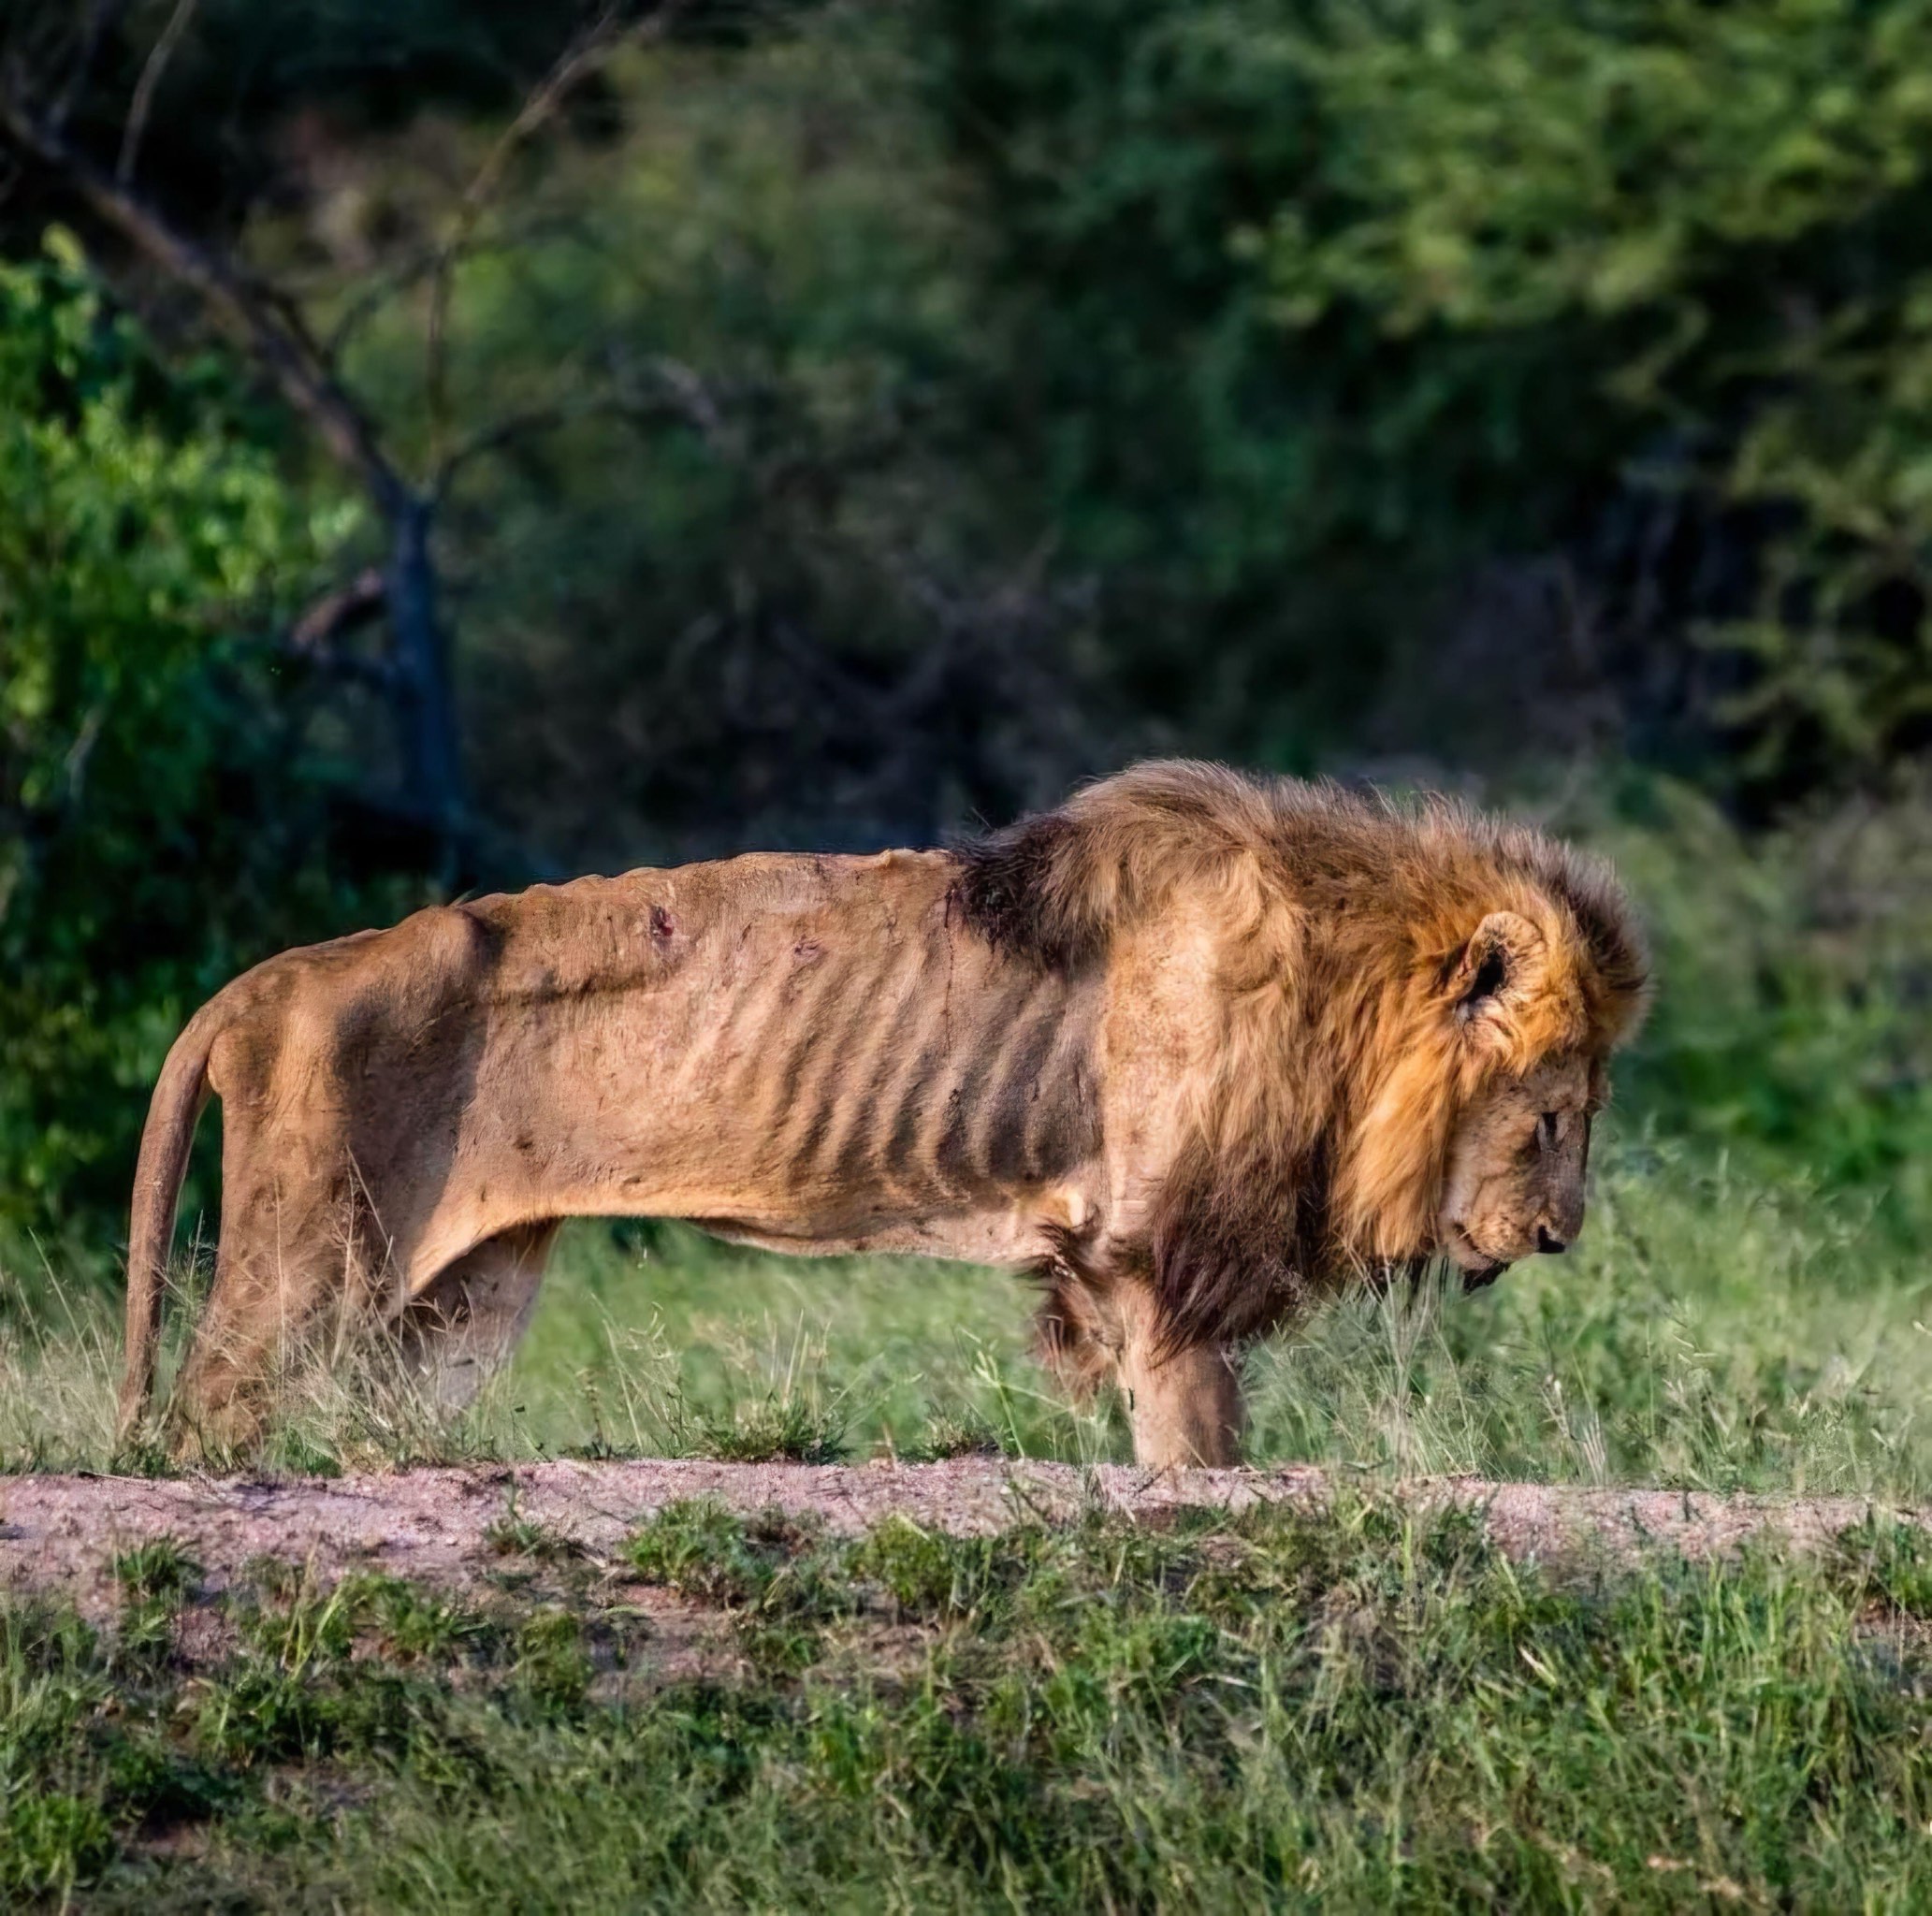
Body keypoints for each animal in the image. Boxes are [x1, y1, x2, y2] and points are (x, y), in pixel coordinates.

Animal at [116, 764, 1646, 1468]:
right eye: (1553, 1116)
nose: (1561, 1237)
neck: (1341, 990)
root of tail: (265, 981)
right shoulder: (1160, 1257)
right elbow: (1200, 1444)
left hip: (448, 1312)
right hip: (309, 1268)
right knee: (203, 1419)